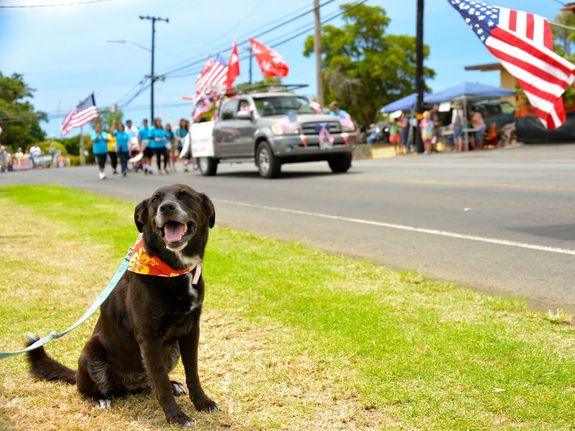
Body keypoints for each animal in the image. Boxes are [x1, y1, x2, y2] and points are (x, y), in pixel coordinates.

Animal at [25, 184, 218, 426]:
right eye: (155, 200)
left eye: (184, 195)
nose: (166, 208)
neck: (173, 269)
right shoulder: (149, 337)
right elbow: (161, 383)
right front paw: (176, 416)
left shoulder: (191, 330)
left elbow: (192, 372)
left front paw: (202, 402)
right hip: (91, 351)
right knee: (87, 388)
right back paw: (99, 398)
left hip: (170, 350)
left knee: (150, 382)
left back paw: (172, 385)